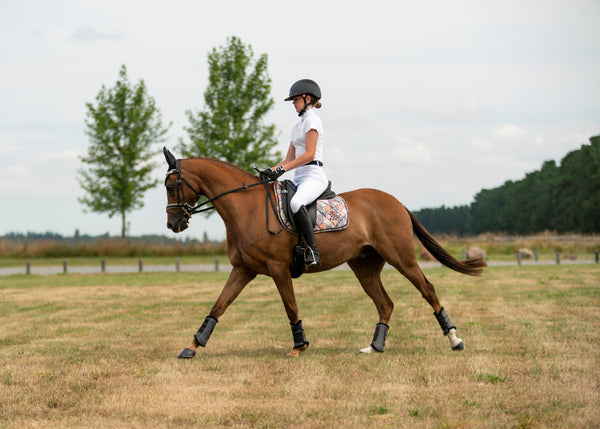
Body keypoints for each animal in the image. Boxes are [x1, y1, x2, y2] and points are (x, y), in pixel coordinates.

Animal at [162, 148, 486, 358]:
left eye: (172, 184)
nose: (173, 224)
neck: (247, 208)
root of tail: (396, 202)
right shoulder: (244, 270)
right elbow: (219, 306)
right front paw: (192, 345)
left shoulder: (278, 269)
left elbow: (290, 307)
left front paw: (299, 346)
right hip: (365, 267)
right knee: (385, 303)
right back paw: (375, 346)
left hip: (402, 258)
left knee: (427, 290)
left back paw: (454, 339)